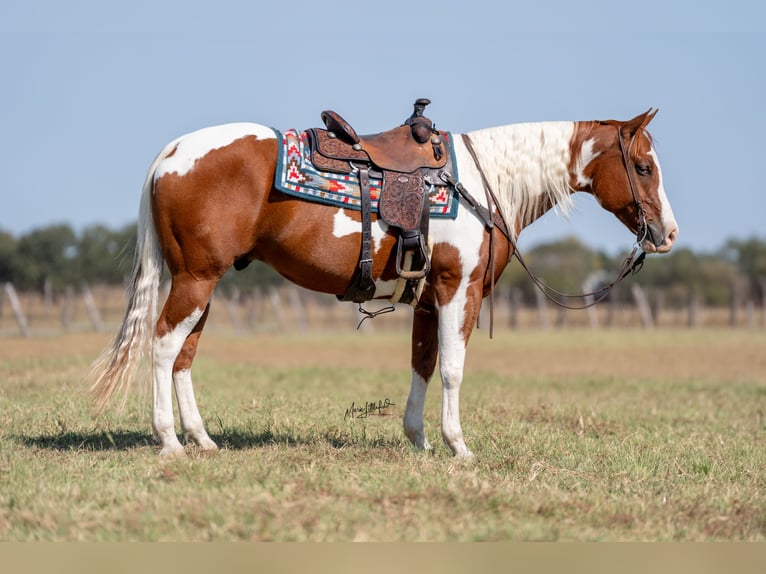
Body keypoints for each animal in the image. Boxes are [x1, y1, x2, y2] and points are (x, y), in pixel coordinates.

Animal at [90, 107, 680, 460]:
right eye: (644, 168)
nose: (668, 234)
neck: (484, 179)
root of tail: (172, 153)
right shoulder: (457, 288)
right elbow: (453, 368)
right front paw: (458, 446)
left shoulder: (428, 297)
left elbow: (423, 363)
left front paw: (418, 440)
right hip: (196, 280)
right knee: (163, 346)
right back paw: (170, 442)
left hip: (202, 283)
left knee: (184, 353)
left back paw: (202, 439)